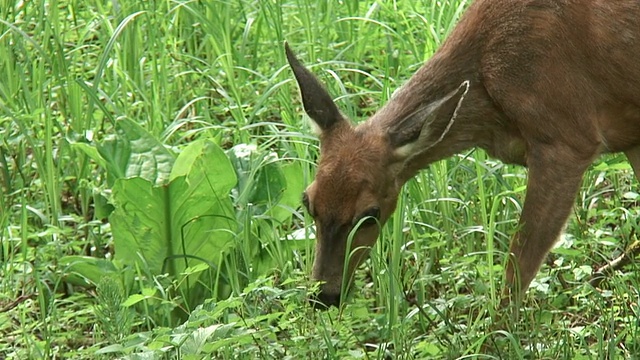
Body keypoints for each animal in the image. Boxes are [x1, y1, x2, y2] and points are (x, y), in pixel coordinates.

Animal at [284, 0, 640, 310]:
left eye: (370, 213)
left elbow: (518, 265)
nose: (323, 296)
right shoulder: (630, 134)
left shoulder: (567, 138)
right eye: (308, 201)